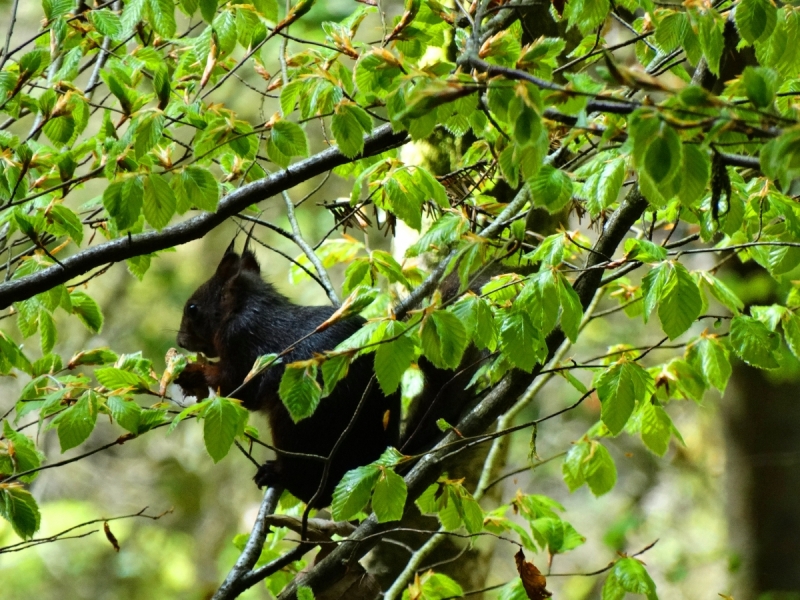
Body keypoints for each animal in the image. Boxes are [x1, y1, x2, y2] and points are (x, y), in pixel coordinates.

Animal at [175, 250, 400, 506]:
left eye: (193, 308)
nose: (180, 341)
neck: (243, 308)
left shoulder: (243, 345)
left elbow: (236, 387)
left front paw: (191, 371)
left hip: (296, 427)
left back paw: (278, 474)